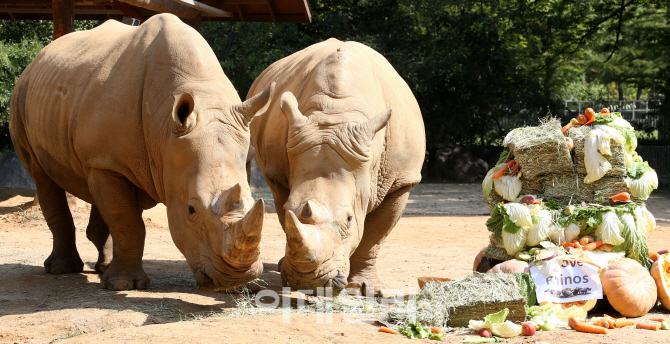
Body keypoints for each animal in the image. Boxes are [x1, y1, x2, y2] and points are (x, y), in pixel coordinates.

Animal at [6, 14, 272, 292]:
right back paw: (62, 269)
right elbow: (128, 222)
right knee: (43, 178)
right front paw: (125, 284)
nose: (236, 278)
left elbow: (120, 216)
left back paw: (103, 268)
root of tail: (37, 59)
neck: (165, 130)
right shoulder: (109, 162)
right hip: (21, 96)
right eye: (191, 211)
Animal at [249, 37, 428, 296]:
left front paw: (366, 289)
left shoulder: (400, 181)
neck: (337, 115)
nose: (308, 281)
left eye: (349, 219)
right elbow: (286, 219)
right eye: (289, 208)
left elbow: (375, 236)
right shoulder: (277, 174)